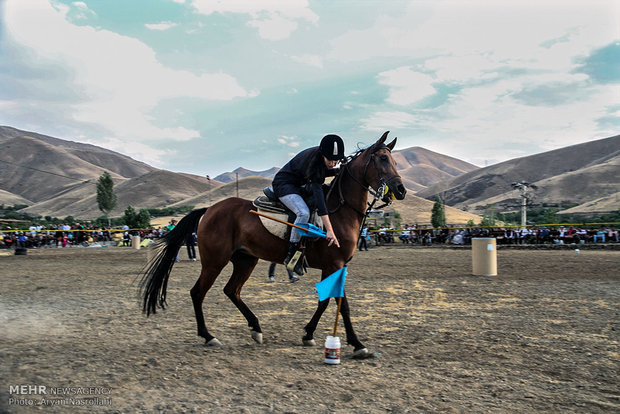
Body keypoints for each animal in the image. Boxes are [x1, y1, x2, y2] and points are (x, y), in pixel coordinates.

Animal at [143, 131, 410, 358]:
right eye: (383, 158)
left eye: (395, 161)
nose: (400, 190)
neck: (339, 210)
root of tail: (209, 209)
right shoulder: (334, 264)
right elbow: (339, 303)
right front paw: (356, 344)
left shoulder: (338, 267)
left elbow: (328, 302)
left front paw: (309, 334)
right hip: (214, 261)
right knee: (198, 292)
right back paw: (208, 336)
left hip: (245, 259)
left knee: (232, 290)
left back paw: (255, 328)